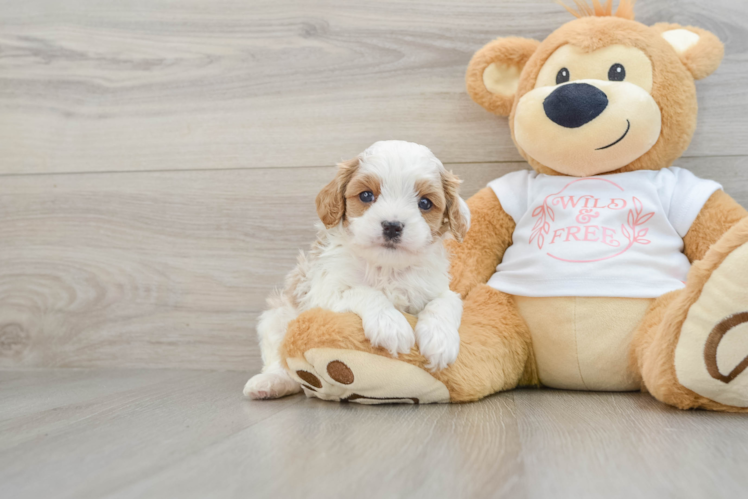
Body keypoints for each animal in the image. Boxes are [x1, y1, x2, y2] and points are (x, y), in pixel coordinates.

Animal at [244, 140, 468, 398]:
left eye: (425, 203)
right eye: (366, 195)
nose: (392, 226)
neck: (386, 267)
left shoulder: (436, 288)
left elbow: (445, 302)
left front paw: (440, 340)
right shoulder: (324, 291)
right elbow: (362, 291)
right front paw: (390, 325)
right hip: (276, 318)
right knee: (281, 361)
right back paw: (271, 382)